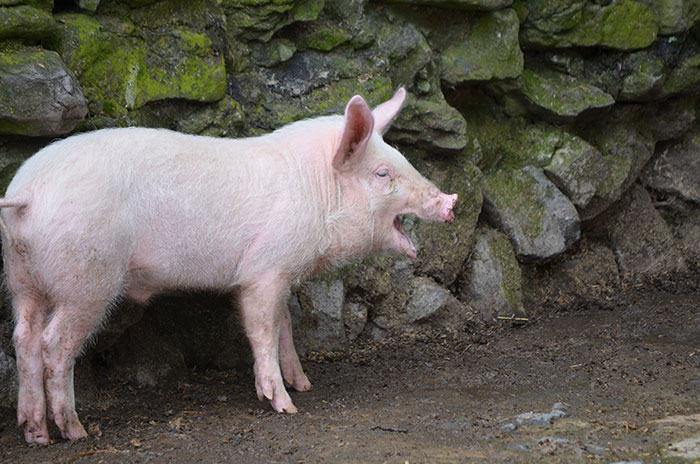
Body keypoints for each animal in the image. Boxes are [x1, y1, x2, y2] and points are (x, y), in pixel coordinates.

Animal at [0, 88, 457, 444]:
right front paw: (286, 405)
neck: (318, 190)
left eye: (402, 159)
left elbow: (283, 325)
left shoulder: (281, 272)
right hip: (86, 279)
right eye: (382, 173)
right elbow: (262, 329)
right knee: (53, 343)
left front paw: (304, 385)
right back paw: (74, 432)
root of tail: (27, 192)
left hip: (22, 278)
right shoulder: (264, 269)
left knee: (23, 338)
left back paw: (35, 432)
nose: (450, 201)